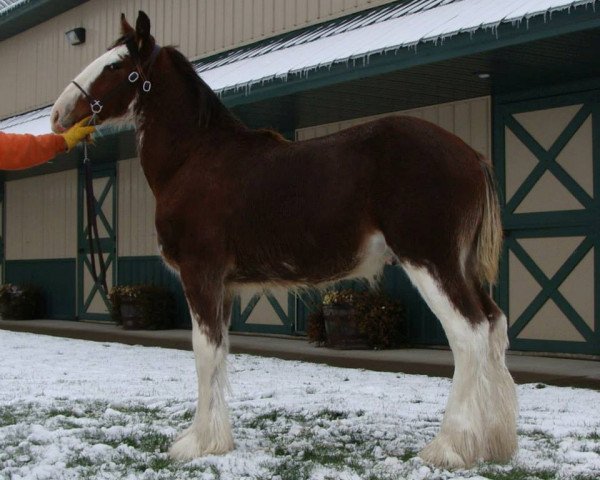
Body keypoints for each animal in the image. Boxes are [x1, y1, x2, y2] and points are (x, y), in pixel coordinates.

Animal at [51, 10, 516, 468]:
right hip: (461, 266)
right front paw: (216, 441)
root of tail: (470, 155)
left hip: (431, 262)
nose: (58, 115)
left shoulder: (200, 274)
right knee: (494, 325)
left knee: (469, 335)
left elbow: (203, 353)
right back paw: (493, 444)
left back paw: (448, 448)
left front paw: (197, 444)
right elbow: (219, 353)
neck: (196, 158)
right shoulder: (224, 286)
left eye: (116, 66)